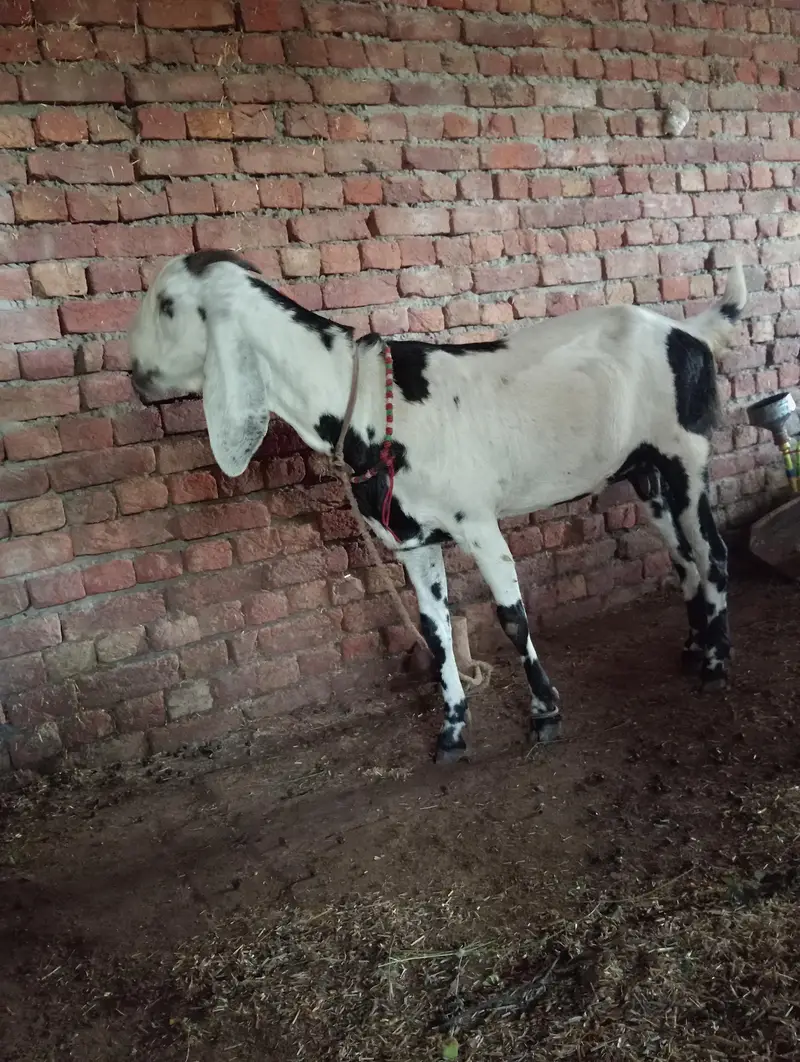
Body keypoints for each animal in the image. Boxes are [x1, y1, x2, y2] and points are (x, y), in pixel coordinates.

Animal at [128, 250, 747, 763]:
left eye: (168, 305)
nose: (133, 375)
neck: (366, 403)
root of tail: (688, 332)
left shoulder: (477, 523)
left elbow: (512, 617)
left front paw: (545, 712)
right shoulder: (412, 541)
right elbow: (435, 630)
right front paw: (452, 730)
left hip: (686, 458)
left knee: (713, 553)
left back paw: (716, 665)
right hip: (647, 475)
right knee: (684, 561)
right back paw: (694, 648)